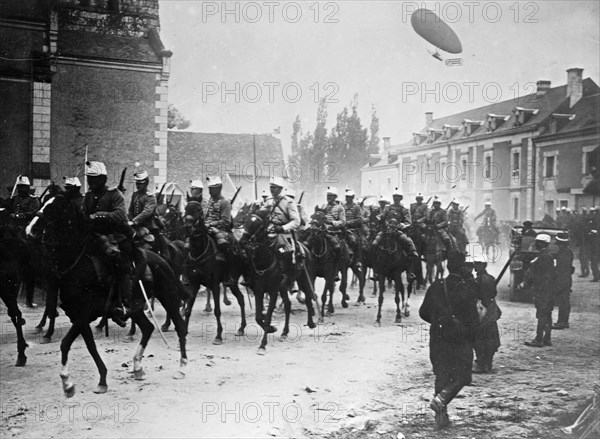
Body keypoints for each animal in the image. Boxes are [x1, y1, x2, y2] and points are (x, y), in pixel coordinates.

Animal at [26, 194, 188, 398]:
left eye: (54, 208)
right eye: (44, 203)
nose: (29, 230)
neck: (78, 266)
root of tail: (163, 260)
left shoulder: (85, 314)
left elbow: (65, 343)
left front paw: (67, 382)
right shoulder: (78, 317)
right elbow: (90, 347)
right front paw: (101, 380)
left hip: (169, 297)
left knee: (180, 326)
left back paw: (181, 368)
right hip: (136, 307)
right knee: (148, 328)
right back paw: (137, 367)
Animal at [180, 201, 246, 346]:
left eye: (198, 210)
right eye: (186, 208)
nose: (187, 227)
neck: (199, 251)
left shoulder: (215, 285)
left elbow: (217, 311)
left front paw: (218, 336)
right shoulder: (194, 284)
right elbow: (187, 310)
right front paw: (184, 334)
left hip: (233, 281)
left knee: (241, 299)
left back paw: (241, 328)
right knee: (241, 298)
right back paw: (241, 328)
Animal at [239, 208, 318, 356]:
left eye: (258, 225)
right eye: (247, 221)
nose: (242, 241)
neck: (265, 260)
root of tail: (304, 247)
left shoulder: (273, 291)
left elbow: (268, 316)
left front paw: (262, 345)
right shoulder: (259, 290)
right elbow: (258, 316)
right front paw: (271, 329)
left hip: (304, 279)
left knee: (309, 296)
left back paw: (311, 322)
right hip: (283, 287)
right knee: (287, 305)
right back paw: (284, 332)